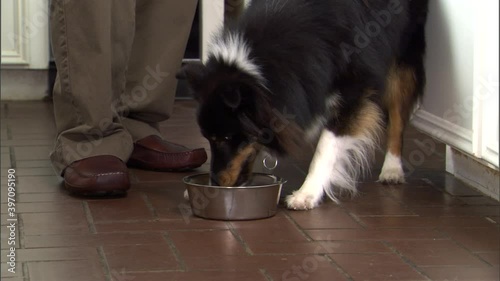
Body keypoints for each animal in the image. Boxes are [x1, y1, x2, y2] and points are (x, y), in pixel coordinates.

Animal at [177, 0, 430, 209]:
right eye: (208, 138)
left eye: (227, 138)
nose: (215, 182)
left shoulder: (354, 88)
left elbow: (327, 145)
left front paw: (306, 194)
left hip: (403, 50)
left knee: (397, 115)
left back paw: (392, 169)